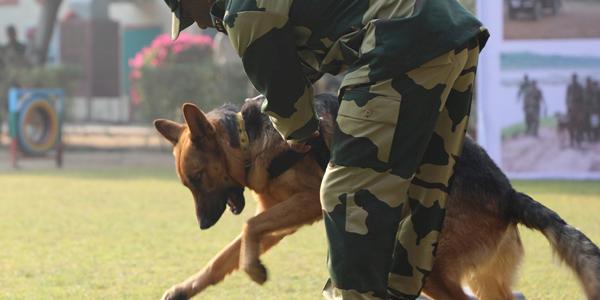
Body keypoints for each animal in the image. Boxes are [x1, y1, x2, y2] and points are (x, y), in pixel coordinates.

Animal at [156, 94, 600, 300]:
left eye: (198, 178)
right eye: (188, 184)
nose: (202, 225)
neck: (247, 137)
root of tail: (509, 193)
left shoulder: (307, 204)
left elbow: (248, 226)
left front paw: (254, 269)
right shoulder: (281, 219)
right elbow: (224, 256)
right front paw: (188, 287)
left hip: (425, 268)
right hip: (483, 277)